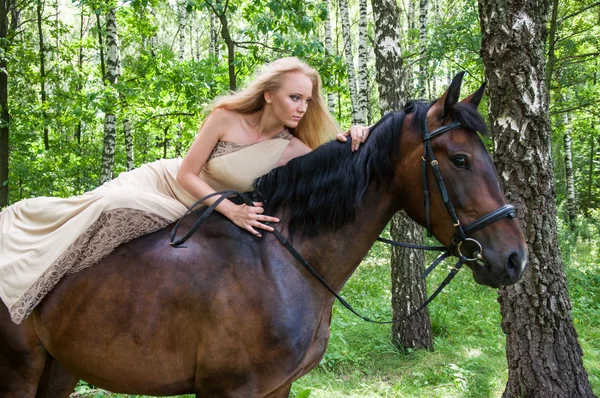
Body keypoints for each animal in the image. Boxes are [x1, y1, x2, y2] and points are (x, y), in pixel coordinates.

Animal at [0, 73, 524, 396]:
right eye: (461, 160)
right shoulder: (229, 390)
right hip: (19, 371)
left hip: (60, 369)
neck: (279, 262)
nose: (514, 258)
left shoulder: (279, 386)